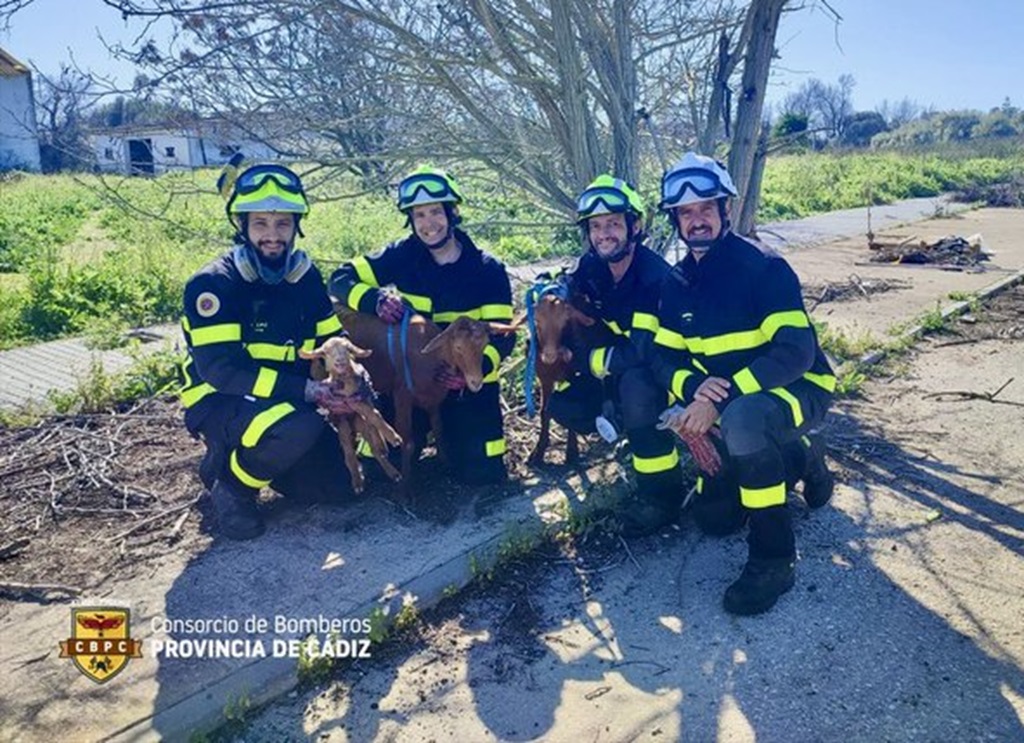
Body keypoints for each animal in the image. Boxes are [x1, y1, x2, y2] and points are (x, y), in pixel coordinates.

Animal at [299, 337, 401, 495]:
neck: (345, 382)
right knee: (349, 455)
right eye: (326, 352)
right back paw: (358, 482)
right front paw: (393, 438)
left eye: (347, 349)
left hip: (359, 423)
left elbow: (374, 416)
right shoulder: (350, 402)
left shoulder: (363, 398)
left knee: (373, 446)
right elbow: (372, 415)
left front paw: (391, 438)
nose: (340, 361)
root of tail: (353, 429)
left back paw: (391, 469)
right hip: (343, 429)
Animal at [337, 304, 516, 503]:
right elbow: (407, 442)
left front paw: (446, 464)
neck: (432, 358)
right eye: (458, 347)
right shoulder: (402, 397)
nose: (475, 383)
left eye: (485, 344)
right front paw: (404, 489)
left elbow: (439, 429)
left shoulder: (434, 398)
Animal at [520, 294, 593, 466]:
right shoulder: (545, 379)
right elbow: (544, 411)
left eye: (565, 321)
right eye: (537, 321)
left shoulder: (572, 375)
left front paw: (572, 452)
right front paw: (538, 452)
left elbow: (572, 408)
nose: (549, 355)